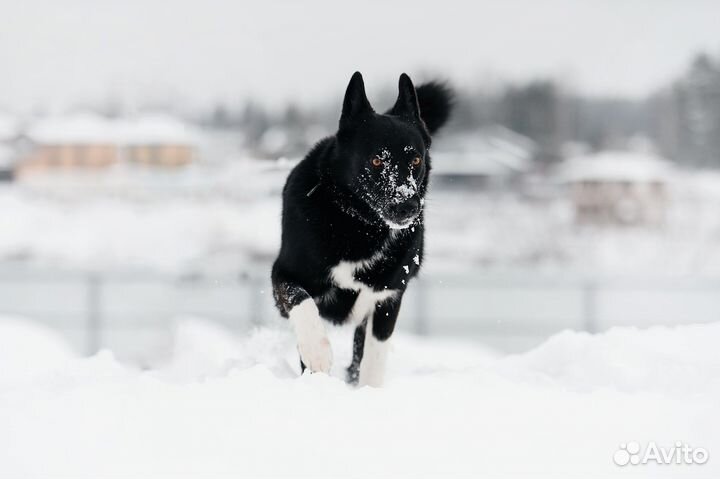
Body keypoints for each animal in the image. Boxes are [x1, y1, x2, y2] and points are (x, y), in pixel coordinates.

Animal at [272, 70, 452, 386]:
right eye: (377, 160)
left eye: (416, 160)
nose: (407, 207)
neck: (358, 226)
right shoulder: (283, 274)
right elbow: (301, 300)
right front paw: (317, 353)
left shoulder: (388, 298)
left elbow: (374, 356)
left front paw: (369, 390)